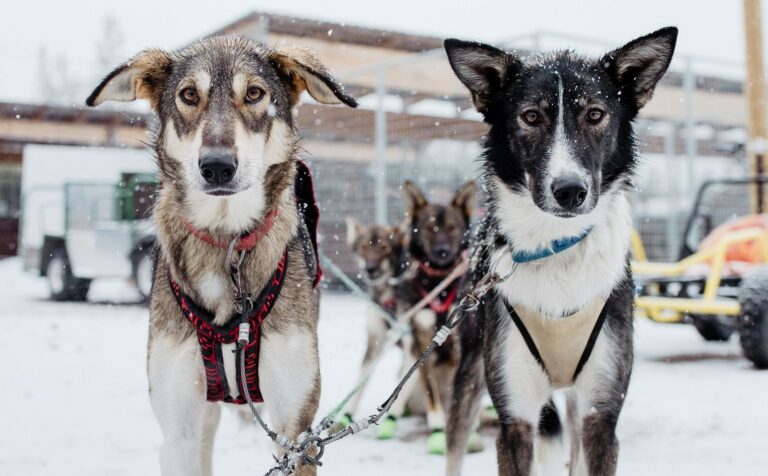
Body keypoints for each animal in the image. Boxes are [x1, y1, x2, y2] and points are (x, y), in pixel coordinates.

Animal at [86, 36, 356, 476]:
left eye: (255, 93)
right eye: (188, 95)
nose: (216, 166)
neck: (226, 242)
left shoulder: (296, 433)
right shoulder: (178, 430)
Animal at [395, 180, 477, 454]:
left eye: (453, 228)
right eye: (430, 228)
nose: (442, 251)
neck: (439, 283)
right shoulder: (422, 340)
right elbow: (432, 390)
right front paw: (438, 427)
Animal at [443, 28, 678, 475]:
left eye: (596, 115)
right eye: (532, 116)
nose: (569, 191)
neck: (555, 247)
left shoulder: (601, 415)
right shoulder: (515, 419)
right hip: (469, 375)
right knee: (456, 447)